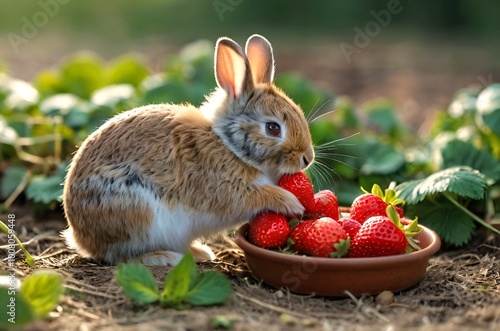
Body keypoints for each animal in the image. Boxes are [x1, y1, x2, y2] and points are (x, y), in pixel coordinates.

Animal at [61, 34, 312, 268]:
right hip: (136, 212)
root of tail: (79, 237)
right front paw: (292, 203)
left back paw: (198, 252)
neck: (229, 145)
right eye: (273, 128)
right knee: (120, 256)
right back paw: (164, 257)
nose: (307, 159)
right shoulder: (228, 190)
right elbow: (258, 196)